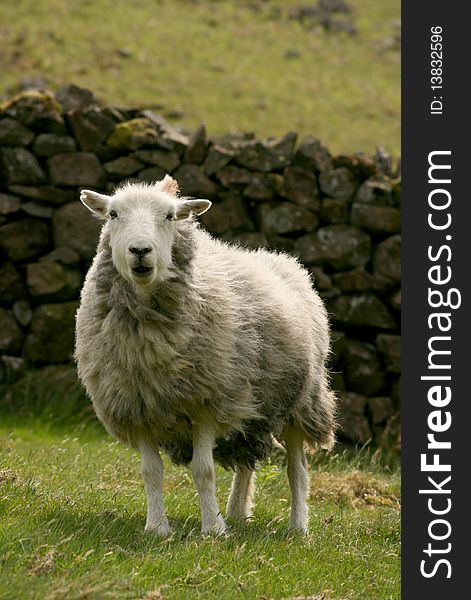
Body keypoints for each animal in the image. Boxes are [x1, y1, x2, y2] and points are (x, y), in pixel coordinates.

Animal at [75, 176, 338, 536]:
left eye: (170, 216)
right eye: (113, 214)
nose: (140, 251)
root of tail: (281, 259)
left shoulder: (208, 402)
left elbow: (204, 470)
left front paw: (212, 528)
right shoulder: (137, 404)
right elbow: (150, 471)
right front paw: (157, 528)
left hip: (300, 400)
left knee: (296, 468)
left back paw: (297, 526)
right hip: (251, 403)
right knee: (246, 461)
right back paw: (238, 511)